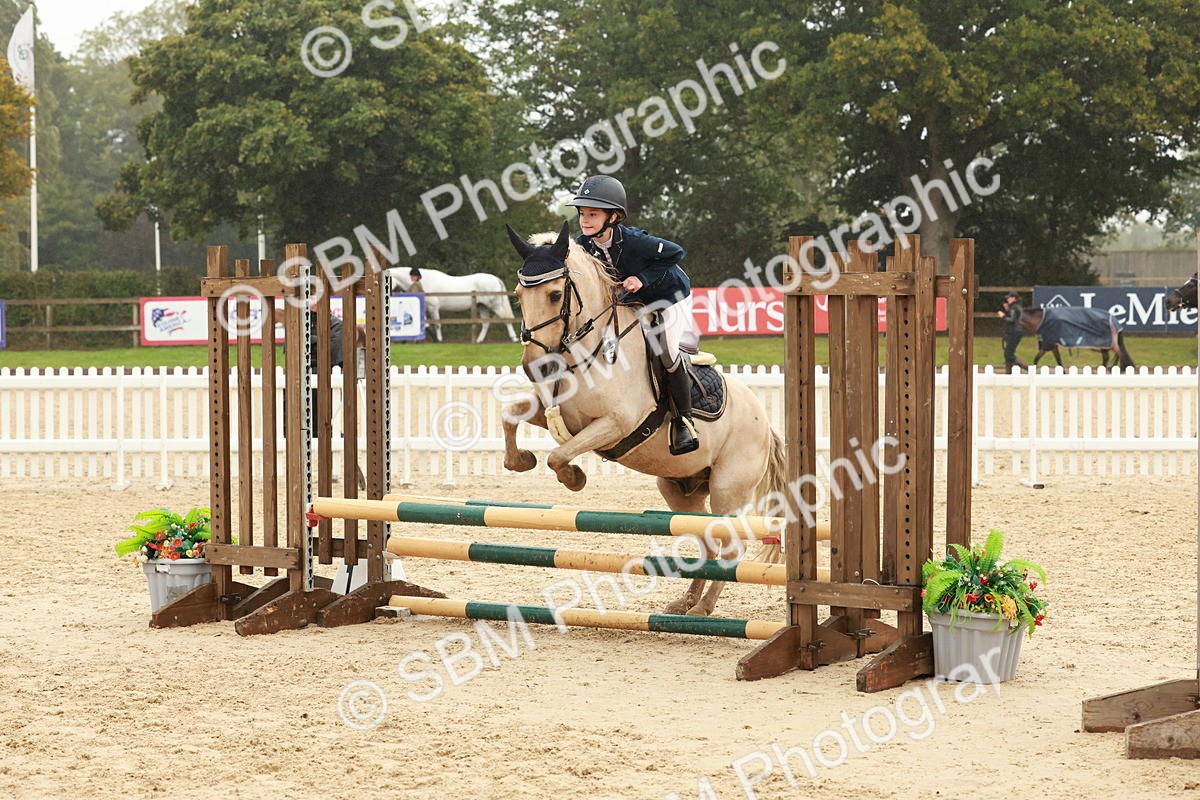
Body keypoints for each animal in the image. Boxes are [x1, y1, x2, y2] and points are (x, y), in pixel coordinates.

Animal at [386, 267, 519, 344]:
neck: (424, 281)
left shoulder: (433, 308)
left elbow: (437, 324)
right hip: (482, 306)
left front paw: (439, 339)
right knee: (486, 323)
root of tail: (496, 279)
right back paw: (478, 340)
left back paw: (514, 338)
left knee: (506, 319)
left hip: (494, 305)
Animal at [501, 223, 787, 617]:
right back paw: (686, 601)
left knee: (732, 548)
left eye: (556, 294)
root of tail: (766, 425)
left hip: (728, 490)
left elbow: (559, 456)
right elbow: (510, 416)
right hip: (679, 490)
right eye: (517, 295)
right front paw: (520, 460)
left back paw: (703, 607)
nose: (535, 367)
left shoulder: (614, 424)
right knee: (708, 542)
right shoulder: (558, 414)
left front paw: (574, 479)